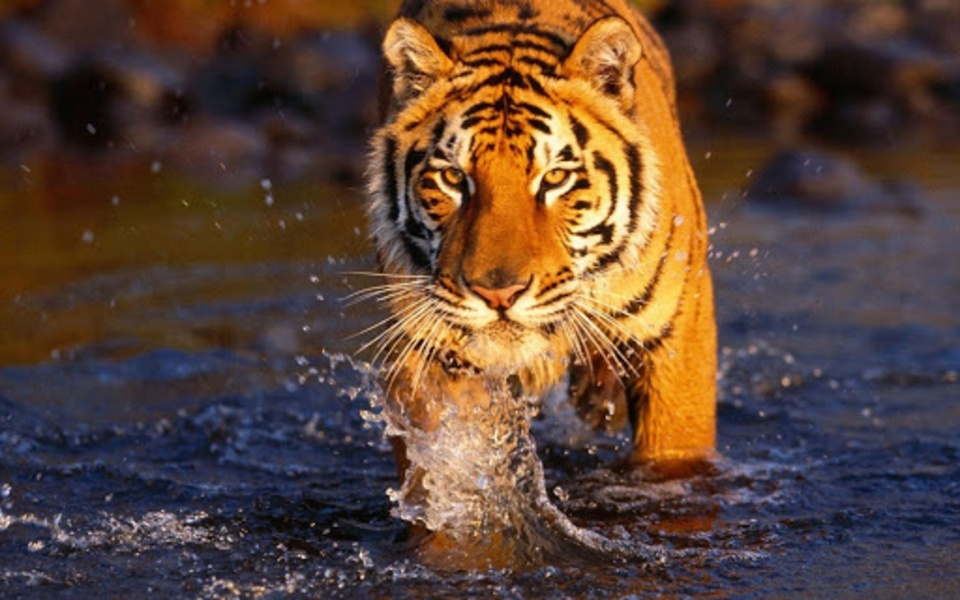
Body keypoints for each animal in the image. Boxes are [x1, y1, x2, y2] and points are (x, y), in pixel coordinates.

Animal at [364, 0, 717, 488]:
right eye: (453, 177)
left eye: (555, 178)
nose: (498, 294)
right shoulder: (426, 350)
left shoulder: (677, 336)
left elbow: (674, 455)